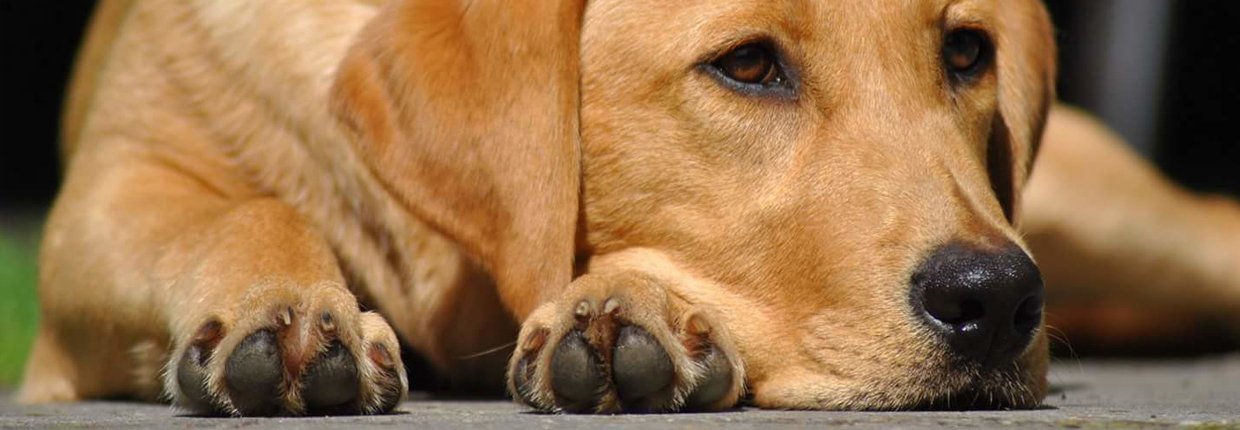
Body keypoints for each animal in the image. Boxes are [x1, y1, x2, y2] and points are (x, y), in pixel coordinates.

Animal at [19, 0, 1240, 418]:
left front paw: (623, 310)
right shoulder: (102, 196)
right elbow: (234, 213)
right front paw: (284, 308)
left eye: (966, 51)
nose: (996, 299)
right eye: (746, 66)